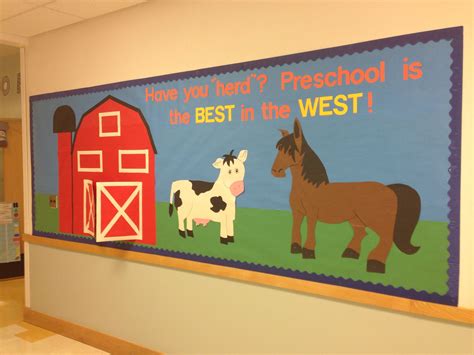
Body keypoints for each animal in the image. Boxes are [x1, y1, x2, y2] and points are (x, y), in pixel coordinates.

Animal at [272, 118, 420, 274]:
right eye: (278, 149)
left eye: (290, 150)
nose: (276, 171)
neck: (308, 187)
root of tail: (389, 188)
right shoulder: (297, 212)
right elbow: (295, 228)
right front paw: (295, 249)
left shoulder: (312, 213)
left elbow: (310, 228)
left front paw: (308, 252)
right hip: (356, 219)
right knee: (361, 234)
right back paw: (350, 253)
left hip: (377, 220)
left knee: (386, 238)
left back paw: (375, 264)